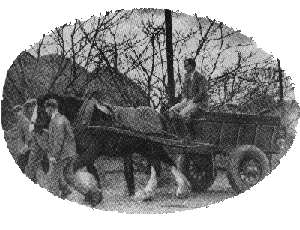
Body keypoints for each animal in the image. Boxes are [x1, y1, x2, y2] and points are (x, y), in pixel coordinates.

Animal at [31, 93, 190, 201]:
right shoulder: (87, 154)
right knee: (165, 163)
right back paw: (180, 188)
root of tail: (158, 115)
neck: (90, 119)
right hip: (146, 148)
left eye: (41, 111)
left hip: (153, 147)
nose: (32, 128)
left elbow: (73, 170)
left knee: (159, 165)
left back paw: (150, 192)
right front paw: (94, 193)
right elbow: (92, 171)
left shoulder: (92, 151)